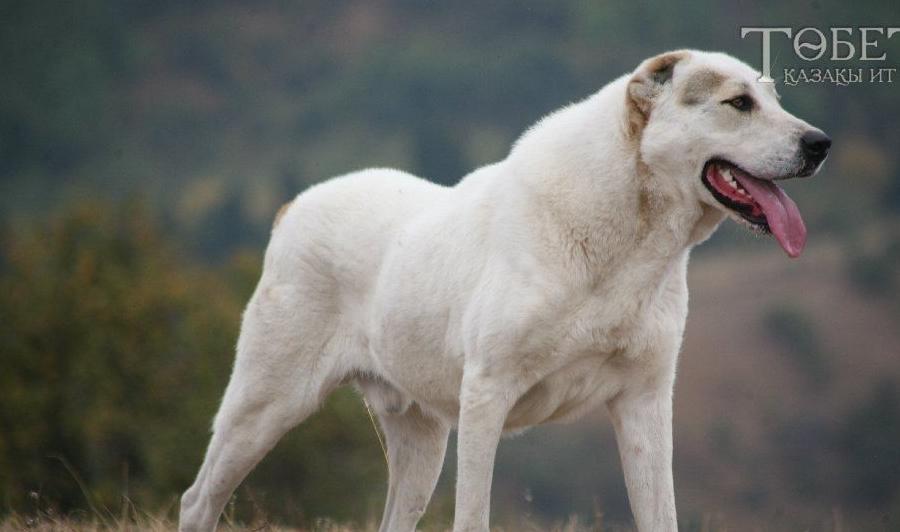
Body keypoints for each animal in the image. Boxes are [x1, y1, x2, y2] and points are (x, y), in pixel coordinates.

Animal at [179, 50, 832, 532]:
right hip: (263, 407)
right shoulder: (487, 395)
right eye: (738, 103)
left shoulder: (644, 403)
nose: (820, 143)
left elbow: (660, 515)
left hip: (421, 442)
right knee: (198, 498)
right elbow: (473, 516)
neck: (629, 243)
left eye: (774, 99)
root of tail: (294, 206)